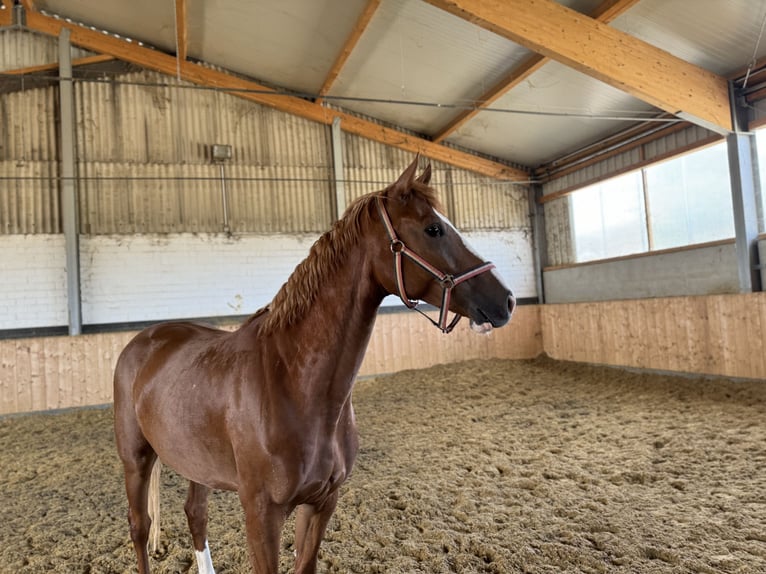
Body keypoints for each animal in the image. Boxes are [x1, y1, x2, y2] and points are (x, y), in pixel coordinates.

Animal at [112, 155, 516, 572]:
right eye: (433, 229)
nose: (506, 300)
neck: (294, 382)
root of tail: (143, 340)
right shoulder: (261, 514)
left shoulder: (322, 503)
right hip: (135, 458)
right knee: (140, 526)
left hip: (197, 465)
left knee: (196, 514)